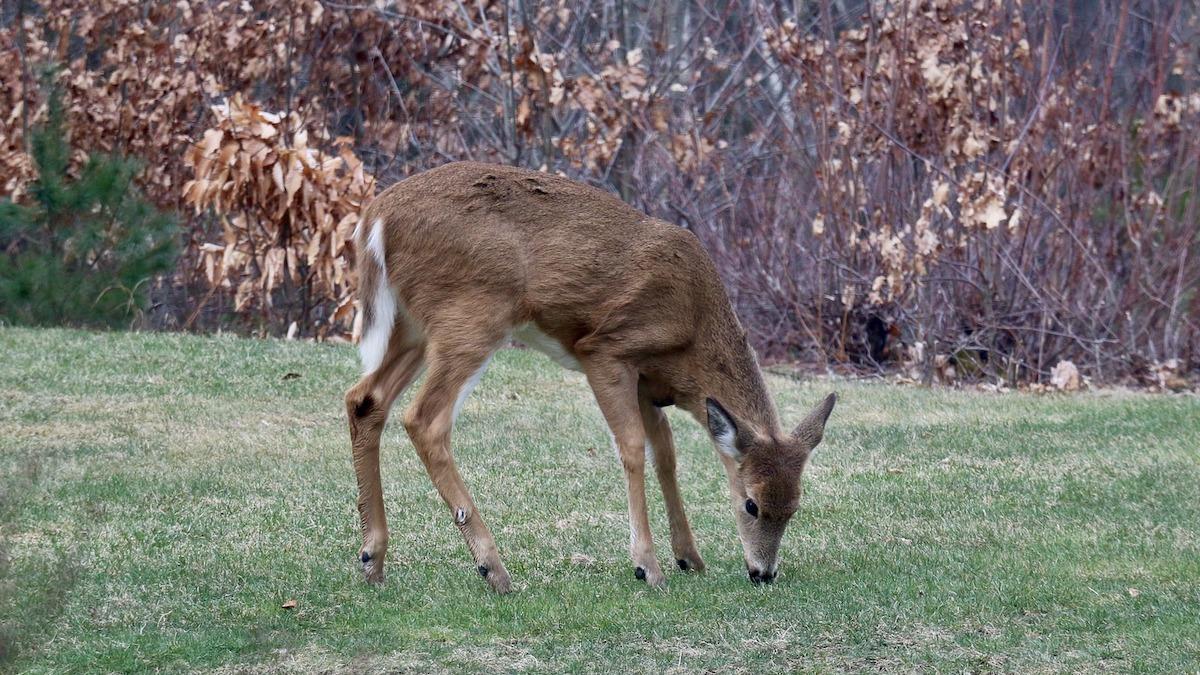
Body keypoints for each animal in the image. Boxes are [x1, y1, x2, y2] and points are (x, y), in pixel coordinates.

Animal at [345, 162, 835, 588]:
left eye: (794, 507)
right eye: (751, 504)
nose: (763, 574)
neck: (692, 333)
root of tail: (376, 217)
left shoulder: (647, 382)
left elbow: (666, 453)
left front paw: (689, 557)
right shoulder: (606, 351)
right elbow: (633, 447)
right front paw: (647, 566)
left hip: (413, 325)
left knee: (365, 400)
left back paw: (373, 560)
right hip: (472, 313)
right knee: (424, 419)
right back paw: (493, 569)